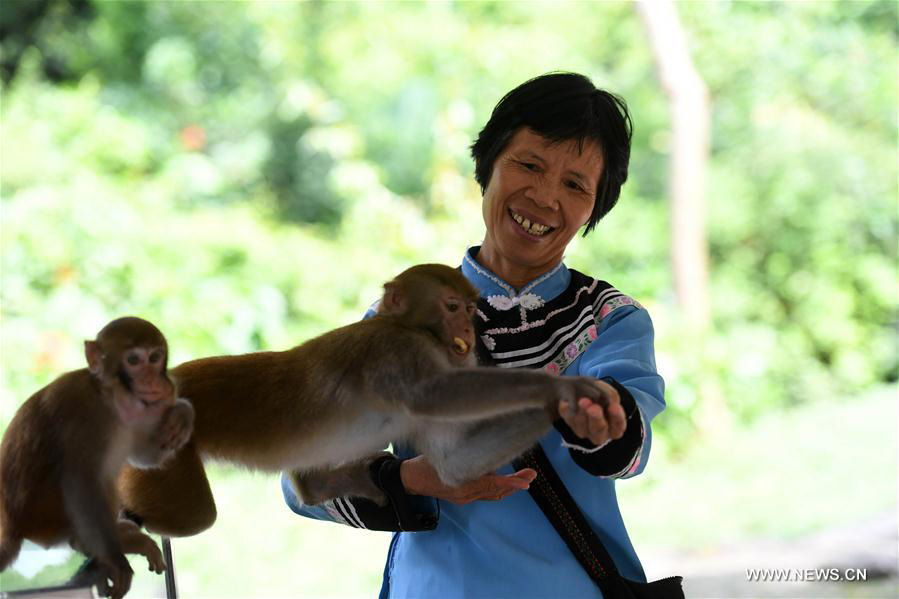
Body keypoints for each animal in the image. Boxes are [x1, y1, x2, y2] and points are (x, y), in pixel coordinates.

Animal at [0, 317, 195, 599]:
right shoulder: (85, 418)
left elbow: (144, 455)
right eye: (133, 360)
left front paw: (182, 414)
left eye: (155, 357)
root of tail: (15, 526)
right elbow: (81, 483)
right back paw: (106, 542)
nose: (154, 380)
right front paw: (116, 560)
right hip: (49, 519)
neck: (109, 399)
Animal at [117, 264, 612, 536]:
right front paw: (558, 392)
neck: (410, 328)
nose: (469, 333)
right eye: (453, 307)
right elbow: (431, 395)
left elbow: (452, 464)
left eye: (472, 309)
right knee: (192, 515)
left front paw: (566, 412)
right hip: (160, 456)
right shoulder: (395, 352)